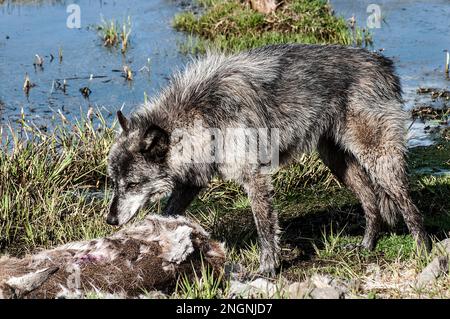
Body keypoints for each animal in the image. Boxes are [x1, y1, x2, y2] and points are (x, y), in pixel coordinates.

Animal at [107, 43, 430, 276]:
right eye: (115, 182)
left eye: (132, 184)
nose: (110, 220)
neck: (200, 114)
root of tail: (385, 65)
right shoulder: (192, 181)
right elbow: (169, 211)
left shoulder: (255, 178)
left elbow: (264, 228)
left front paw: (267, 268)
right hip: (338, 163)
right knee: (371, 201)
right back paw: (366, 246)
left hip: (379, 160)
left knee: (408, 206)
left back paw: (423, 250)